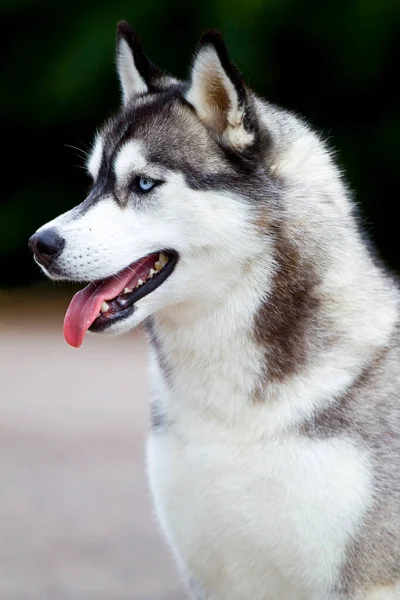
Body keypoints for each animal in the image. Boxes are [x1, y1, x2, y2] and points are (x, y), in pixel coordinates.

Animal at [28, 21, 400, 596]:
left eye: (143, 183)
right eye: (94, 182)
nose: (39, 244)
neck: (230, 413)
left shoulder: (366, 579)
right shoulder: (209, 571)